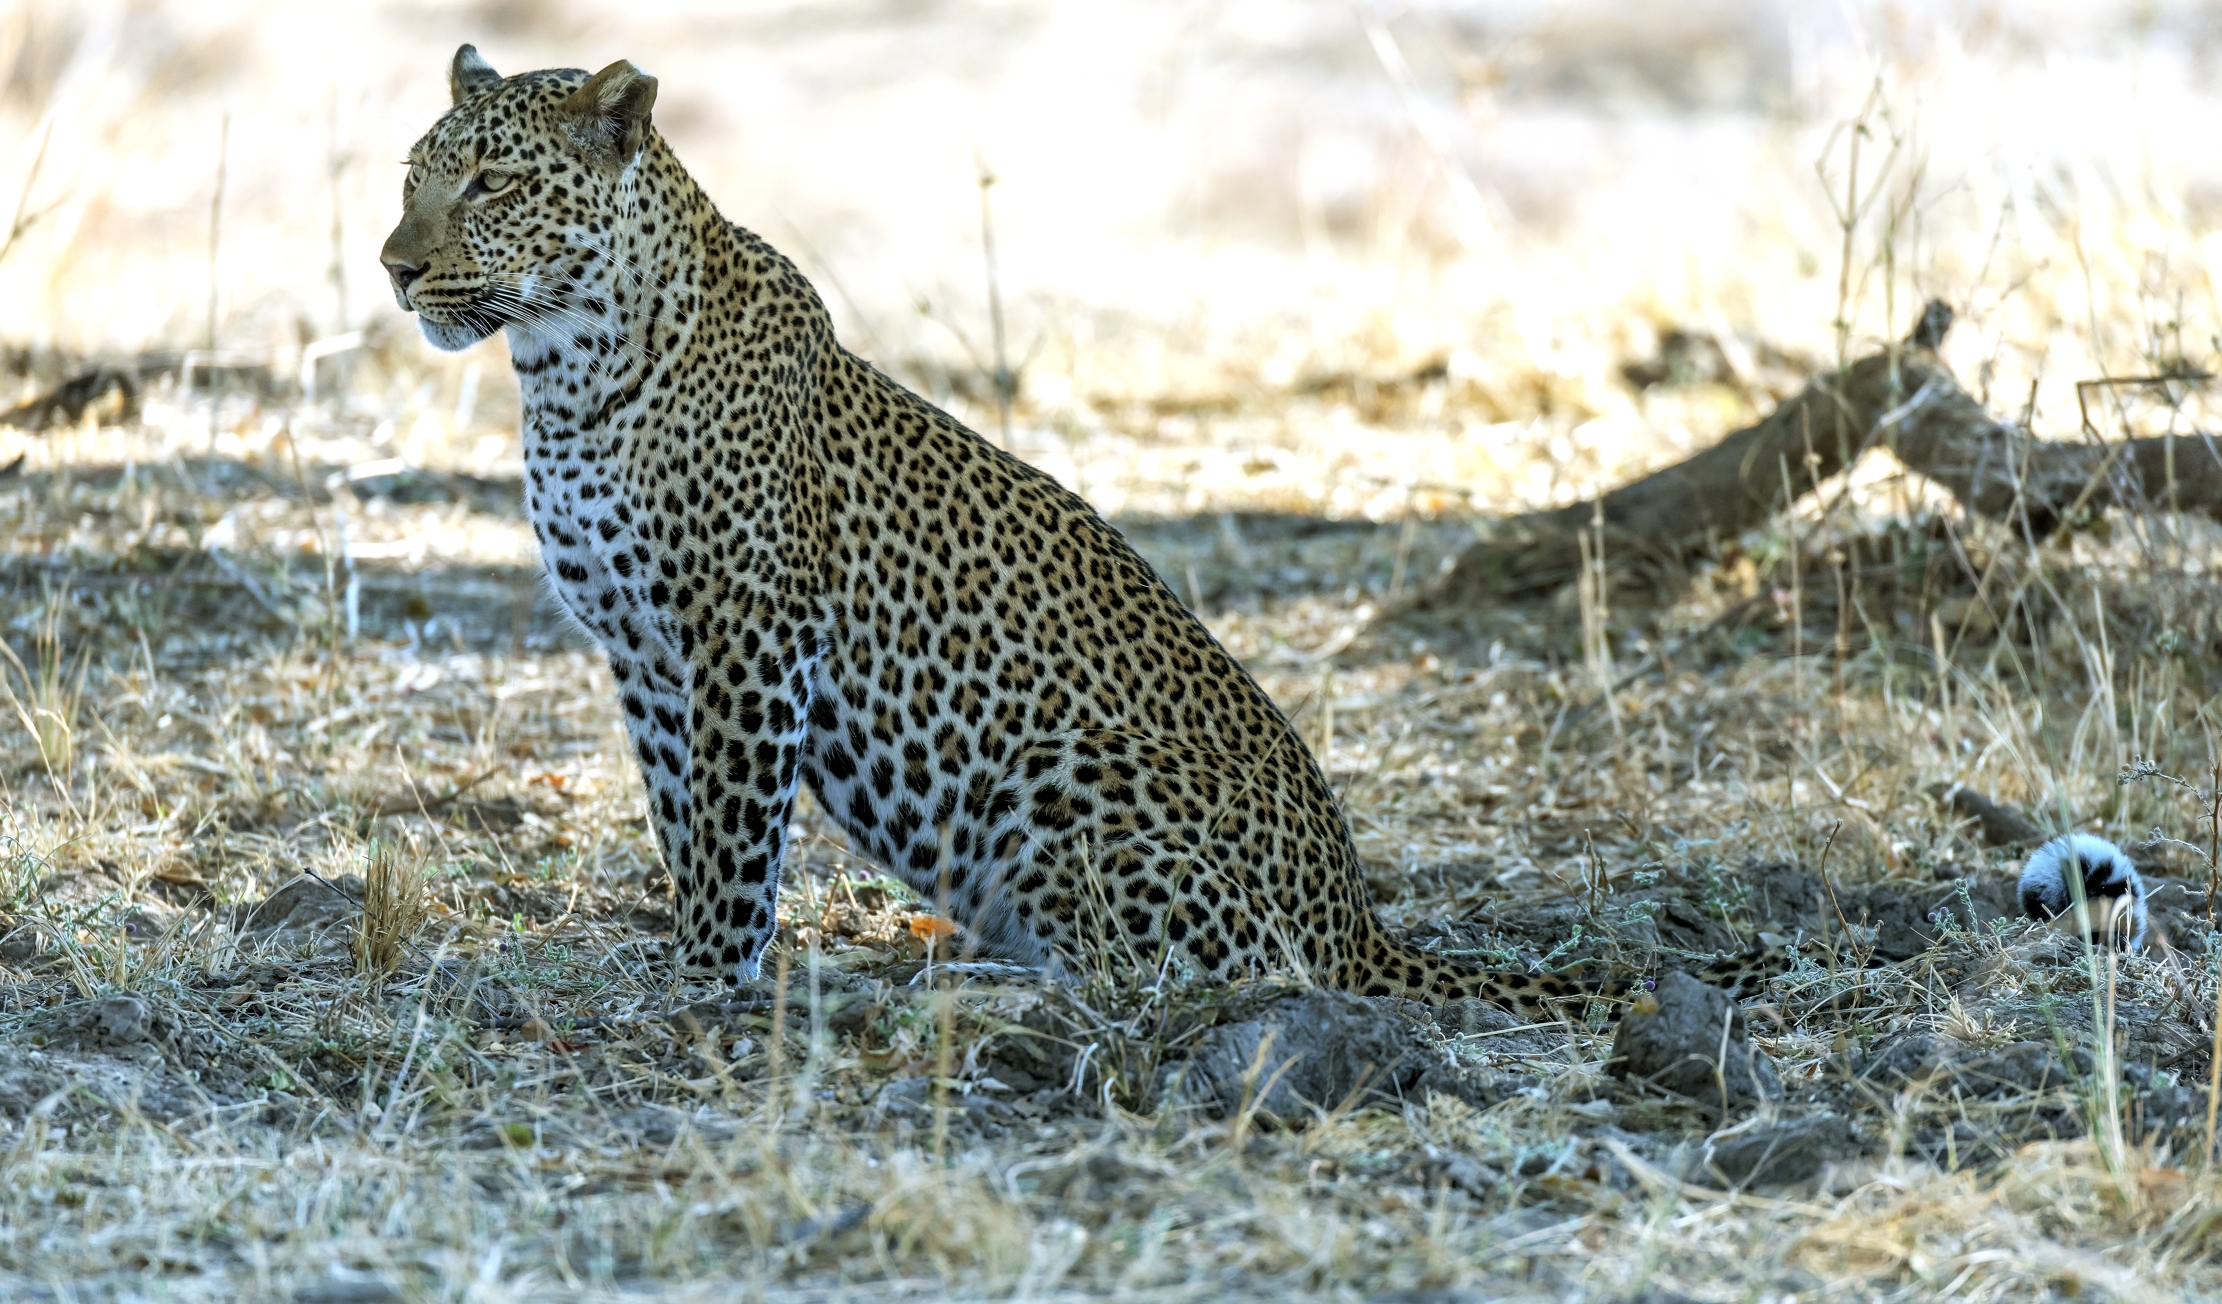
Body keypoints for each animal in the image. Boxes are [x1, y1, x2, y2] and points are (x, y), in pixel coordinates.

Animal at [379, 45, 1773, 1017]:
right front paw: (691, 956)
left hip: (1065, 770)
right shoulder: (645, 657)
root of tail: (1361, 919)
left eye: (494, 181)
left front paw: (711, 977)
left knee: (1165, 972)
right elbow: (683, 820)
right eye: (411, 176)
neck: (563, 373)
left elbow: (730, 833)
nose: (394, 266)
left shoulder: (747, 636)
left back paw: (961, 979)